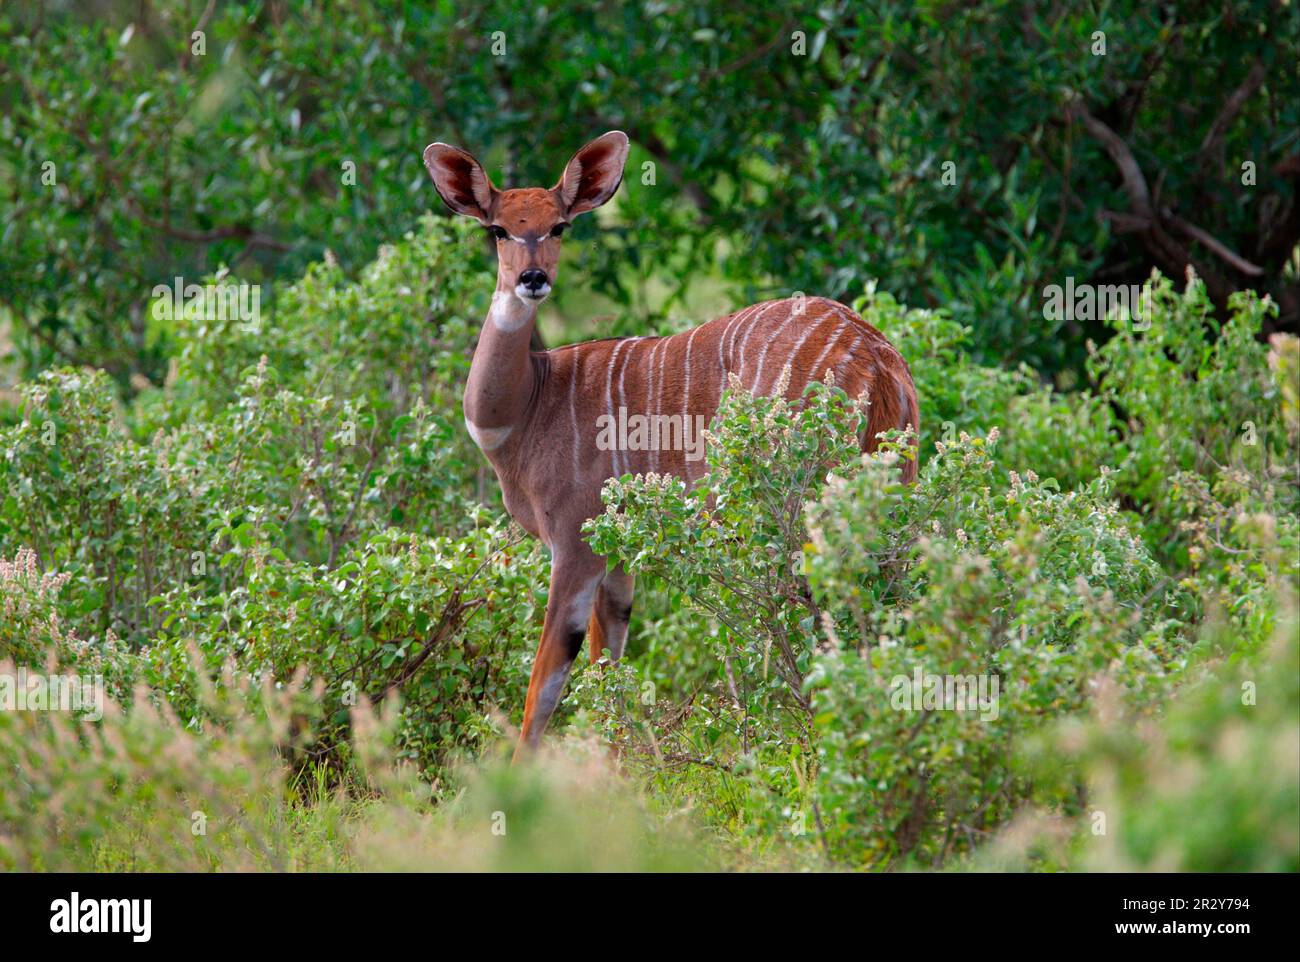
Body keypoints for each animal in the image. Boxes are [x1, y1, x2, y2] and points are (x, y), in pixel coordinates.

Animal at [421, 131, 920, 759]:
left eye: (559, 226)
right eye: (498, 229)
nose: (532, 278)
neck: (527, 407)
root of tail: (875, 357)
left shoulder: (574, 540)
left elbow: (548, 677)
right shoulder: (615, 557)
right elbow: (607, 660)